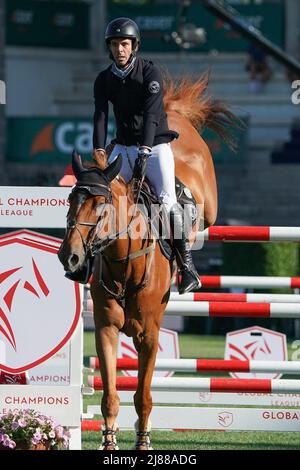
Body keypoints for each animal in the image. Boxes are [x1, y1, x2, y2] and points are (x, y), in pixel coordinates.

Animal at [57, 75, 238, 450]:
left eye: (100, 204)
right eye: (70, 199)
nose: (70, 256)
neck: (124, 262)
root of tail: (174, 113)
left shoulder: (150, 334)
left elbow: (142, 394)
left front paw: (143, 442)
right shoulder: (106, 331)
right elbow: (110, 394)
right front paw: (109, 442)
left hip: (208, 204)